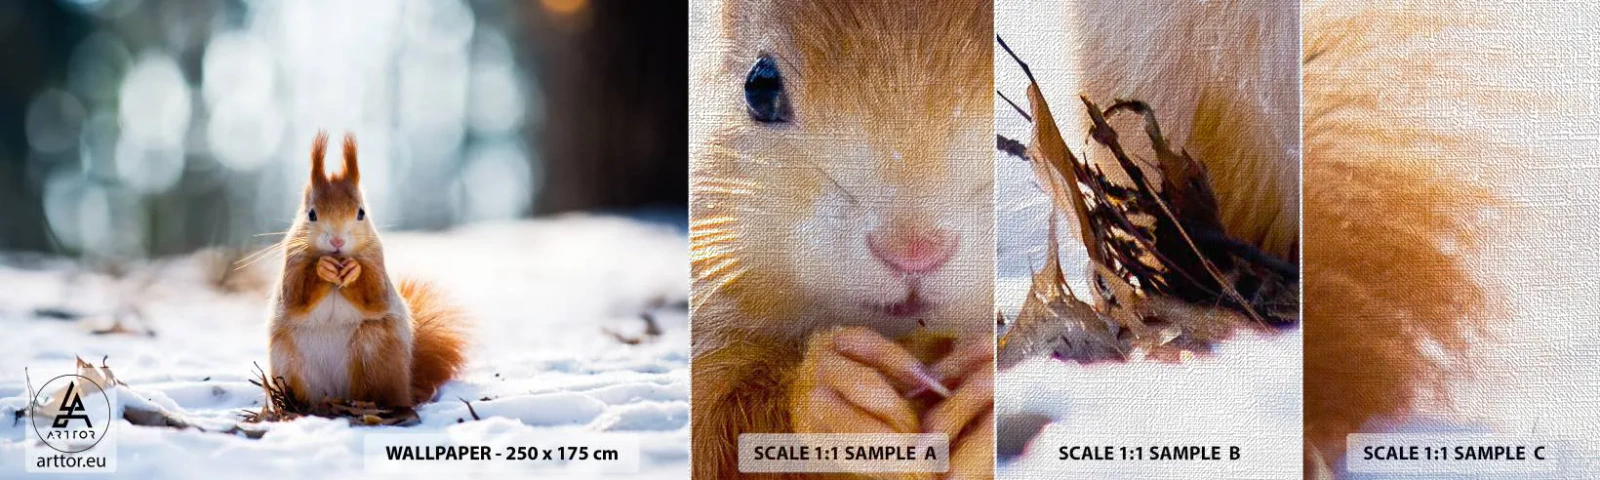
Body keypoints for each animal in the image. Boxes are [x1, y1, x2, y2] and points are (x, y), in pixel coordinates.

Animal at [268, 132, 469, 409]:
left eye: (361, 212)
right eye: (311, 214)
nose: (337, 241)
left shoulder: (377, 263)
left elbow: (375, 296)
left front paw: (354, 270)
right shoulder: (292, 264)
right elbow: (295, 296)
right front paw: (322, 268)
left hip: (373, 351)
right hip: (289, 361)